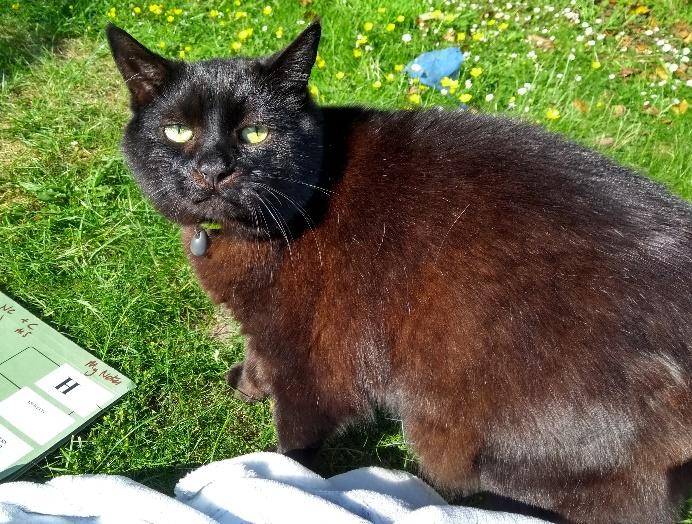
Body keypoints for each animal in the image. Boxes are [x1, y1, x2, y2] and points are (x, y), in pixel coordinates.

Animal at [108, 21, 692, 524]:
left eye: (255, 133)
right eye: (177, 131)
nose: (211, 169)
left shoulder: (312, 357)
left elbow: (296, 440)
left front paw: (282, 481)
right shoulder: (267, 326)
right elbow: (257, 353)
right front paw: (247, 384)